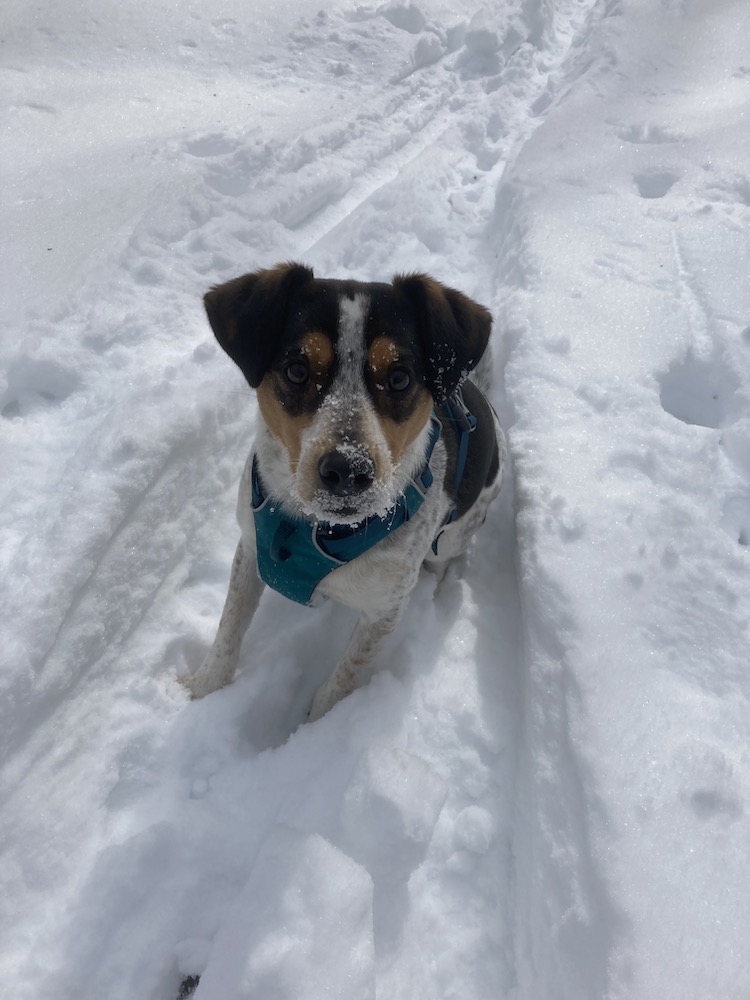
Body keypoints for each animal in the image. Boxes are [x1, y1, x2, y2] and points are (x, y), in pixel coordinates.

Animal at [185, 264, 508, 720]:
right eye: (297, 370)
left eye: (399, 377)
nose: (348, 469)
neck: (313, 529)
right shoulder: (249, 548)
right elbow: (228, 630)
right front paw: (201, 690)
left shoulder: (383, 611)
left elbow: (340, 683)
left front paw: (313, 729)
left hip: (456, 532)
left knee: (444, 558)